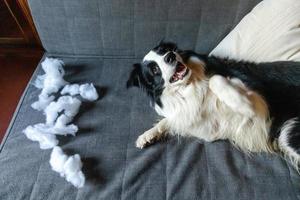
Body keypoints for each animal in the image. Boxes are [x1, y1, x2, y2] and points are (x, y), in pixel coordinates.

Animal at [126, 41, 300, 170]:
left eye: (165, 50)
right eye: (155, 69)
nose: (170, 56)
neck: (190, 84)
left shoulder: (260, 97)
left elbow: (215, 80)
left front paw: (242, 104)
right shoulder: (210, 129)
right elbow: (174, 119)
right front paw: (148, 135)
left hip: (288, 136)